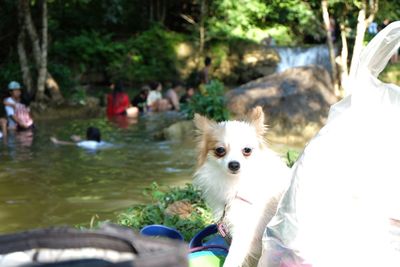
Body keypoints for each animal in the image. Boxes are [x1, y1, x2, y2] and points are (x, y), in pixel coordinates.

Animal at [192, 107, 290, 267]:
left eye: (247, 150)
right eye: (220, 150)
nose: (234, 164)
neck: (235, 183)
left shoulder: (245, 229)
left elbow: (233, 257)